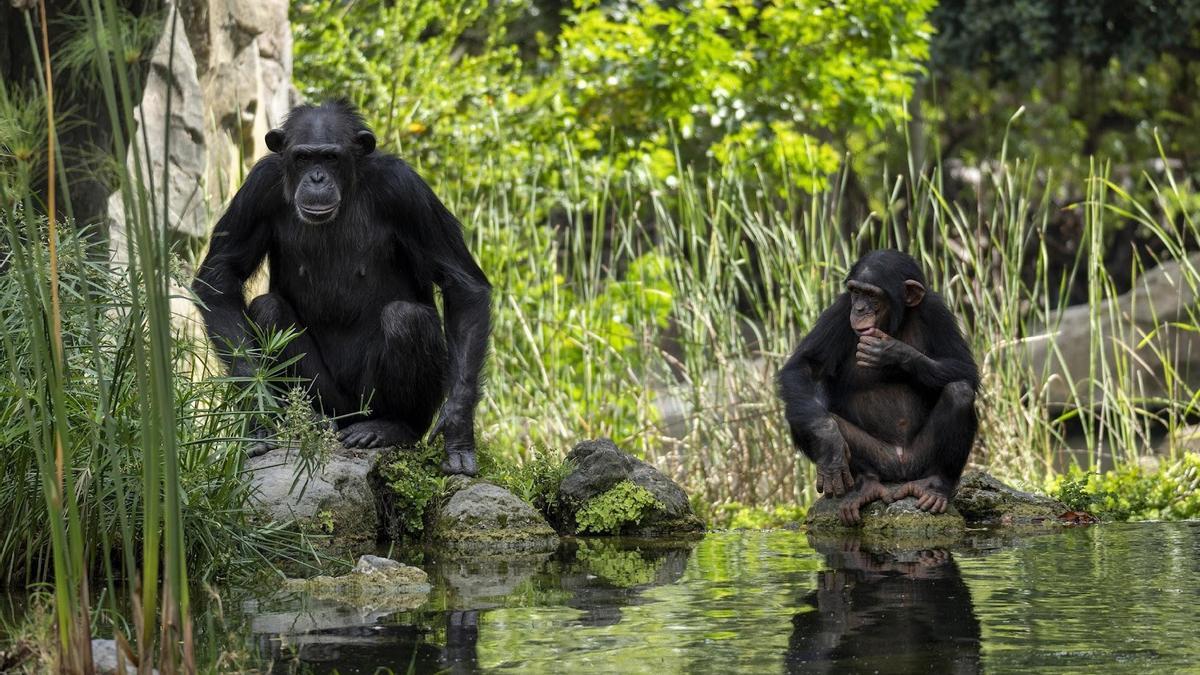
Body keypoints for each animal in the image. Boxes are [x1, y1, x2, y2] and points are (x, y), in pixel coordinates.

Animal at [189, 102, 489, 475]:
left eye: (331, 158)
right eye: (303, 158)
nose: (317, 177)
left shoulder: (407, 190)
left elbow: (461, 284)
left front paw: (458, 428)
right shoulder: (258, 187)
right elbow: (220, 275)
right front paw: (259, 411)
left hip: (371, 403)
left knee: (406, 319)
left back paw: (392, 427)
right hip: (330, 400)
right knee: (268, 310)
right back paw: (312, 421)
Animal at [772, 249, 979, 523]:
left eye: (872, 295)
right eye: (855, 292)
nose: (859, 308)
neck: (894, 323)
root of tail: (900, 470)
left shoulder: (936, 311)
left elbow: (966, 369)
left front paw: (893, 352)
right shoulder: (840, 310)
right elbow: (806, 366)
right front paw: (829, 442)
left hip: (919, 462)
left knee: (960, 392)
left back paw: (935, 485)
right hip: (880, 460)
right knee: (800, 415)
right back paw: (864, 485)